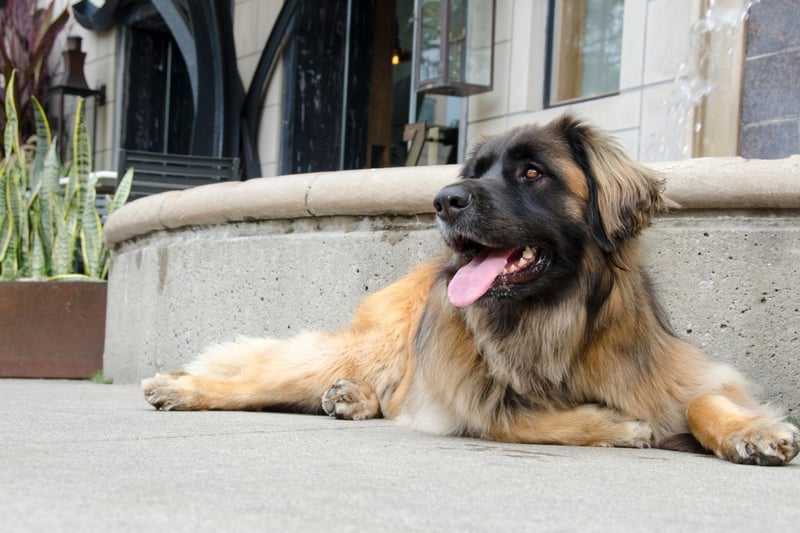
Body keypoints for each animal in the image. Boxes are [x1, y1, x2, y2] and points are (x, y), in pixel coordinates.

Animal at [144, 114, 800, 464]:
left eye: (532, 172)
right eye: (474, 173)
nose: (442, 200)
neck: (552, 320)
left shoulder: (683, 373)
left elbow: (702, 399)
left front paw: (752, 433)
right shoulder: (472, 397)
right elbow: (520, 419)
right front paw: (620, 427)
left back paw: (352, 399)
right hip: (373, 346)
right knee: (264, 377)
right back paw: (182, 387)